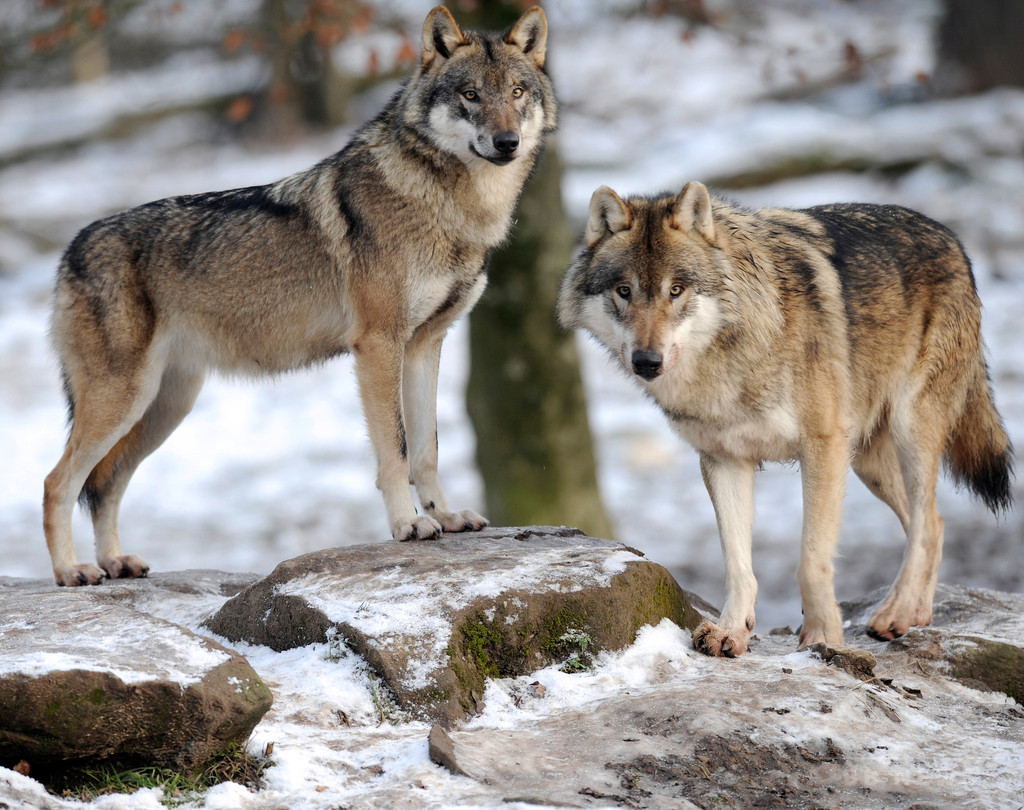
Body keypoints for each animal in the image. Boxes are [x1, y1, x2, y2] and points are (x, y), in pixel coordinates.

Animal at [44, 7, 557, 589]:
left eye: (516, 92)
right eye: (470, 94)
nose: (506, 141)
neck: (452, 209)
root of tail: (71, 250)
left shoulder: (426, 345)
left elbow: (427, 448)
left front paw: (445, 517)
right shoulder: (378, 346)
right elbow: (397, 449)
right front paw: (408, 525)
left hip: (163, 407)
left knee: (106, 482)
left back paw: (115, 562)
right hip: (124, 401)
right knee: (58, 482)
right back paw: (71, 571)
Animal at [561, 180, 1015, 655]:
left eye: (676, 289)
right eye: (624, 291)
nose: (646, 361)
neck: (729, 359)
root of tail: (951, 238)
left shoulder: (823, 448)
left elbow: (812, 560)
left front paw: (823, 637)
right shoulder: (725, 459)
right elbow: (737, 562)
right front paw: (731, 630)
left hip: (909, 431)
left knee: (926, 524)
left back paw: (895, 612)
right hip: (867, 462)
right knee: (934, 522)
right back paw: (917, 614)